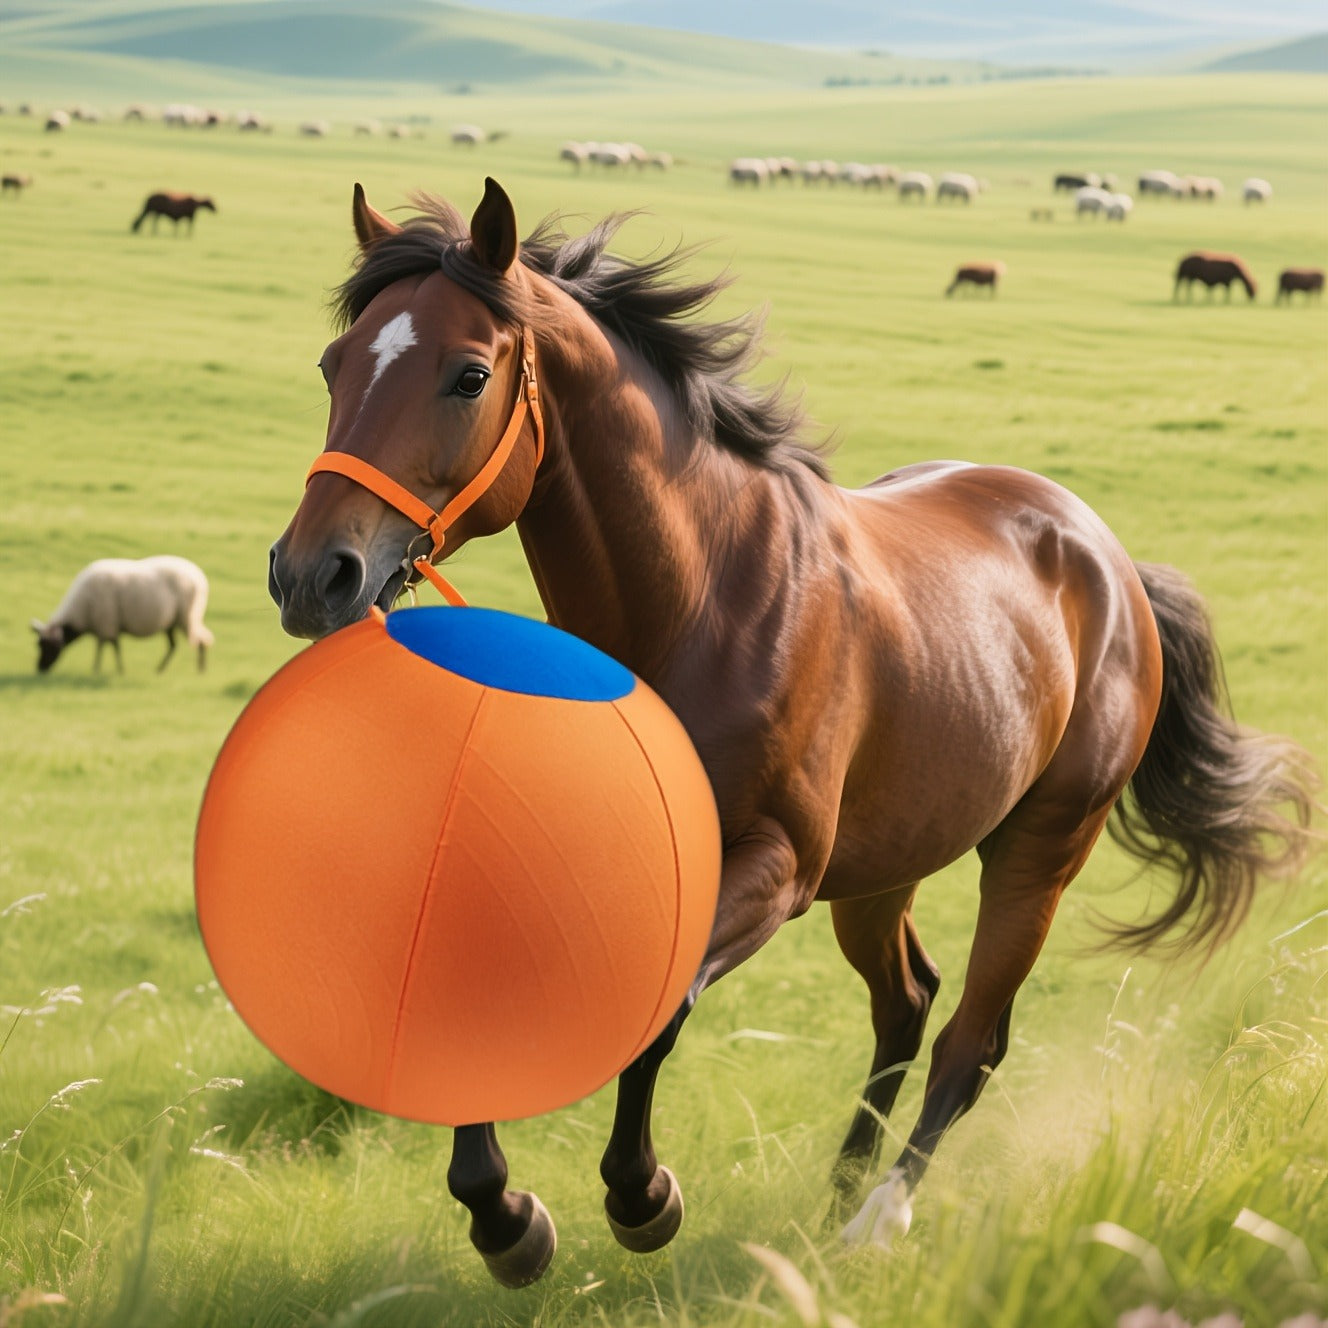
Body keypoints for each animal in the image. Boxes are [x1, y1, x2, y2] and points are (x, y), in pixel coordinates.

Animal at [269, 180, 1317, 1287]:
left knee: (969, 1038)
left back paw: (877, 1222)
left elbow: (664, 1008)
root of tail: (1106, 555)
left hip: (1035, 855)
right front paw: (503, 1214)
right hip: (885, 866)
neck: (697, 606)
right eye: (335, 363)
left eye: (468, 375)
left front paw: (640, 1197)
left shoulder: (774, 868)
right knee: (906, 1000)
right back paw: (837, 1195)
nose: (312, 574)